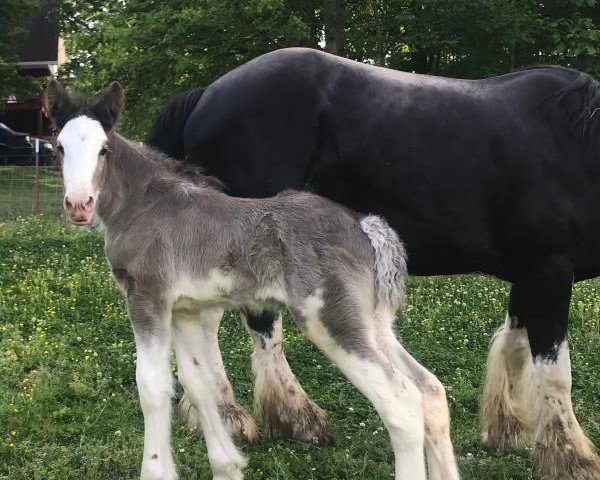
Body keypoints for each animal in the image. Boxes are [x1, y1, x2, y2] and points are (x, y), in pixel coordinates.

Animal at [45, 80, 460, 480]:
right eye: (59, 147)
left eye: (103, 149)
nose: (78, 205)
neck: (145, 204)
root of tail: (367, 226)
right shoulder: (185, 310)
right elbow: (199, 384)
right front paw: (228, 466)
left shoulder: (147, 298)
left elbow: (152, 386)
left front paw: (158, 470)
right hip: (373, 324)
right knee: (430, 390)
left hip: (331, 321)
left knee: (402, 405)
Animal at [146, 47, 600, 480]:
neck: (572, 141)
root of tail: (207, 93)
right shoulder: (549, 272)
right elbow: (554, 371)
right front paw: (574, 457)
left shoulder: (531, 275)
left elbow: (515, 347)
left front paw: (508, 430)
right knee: (250, 326)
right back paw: (282, 417)